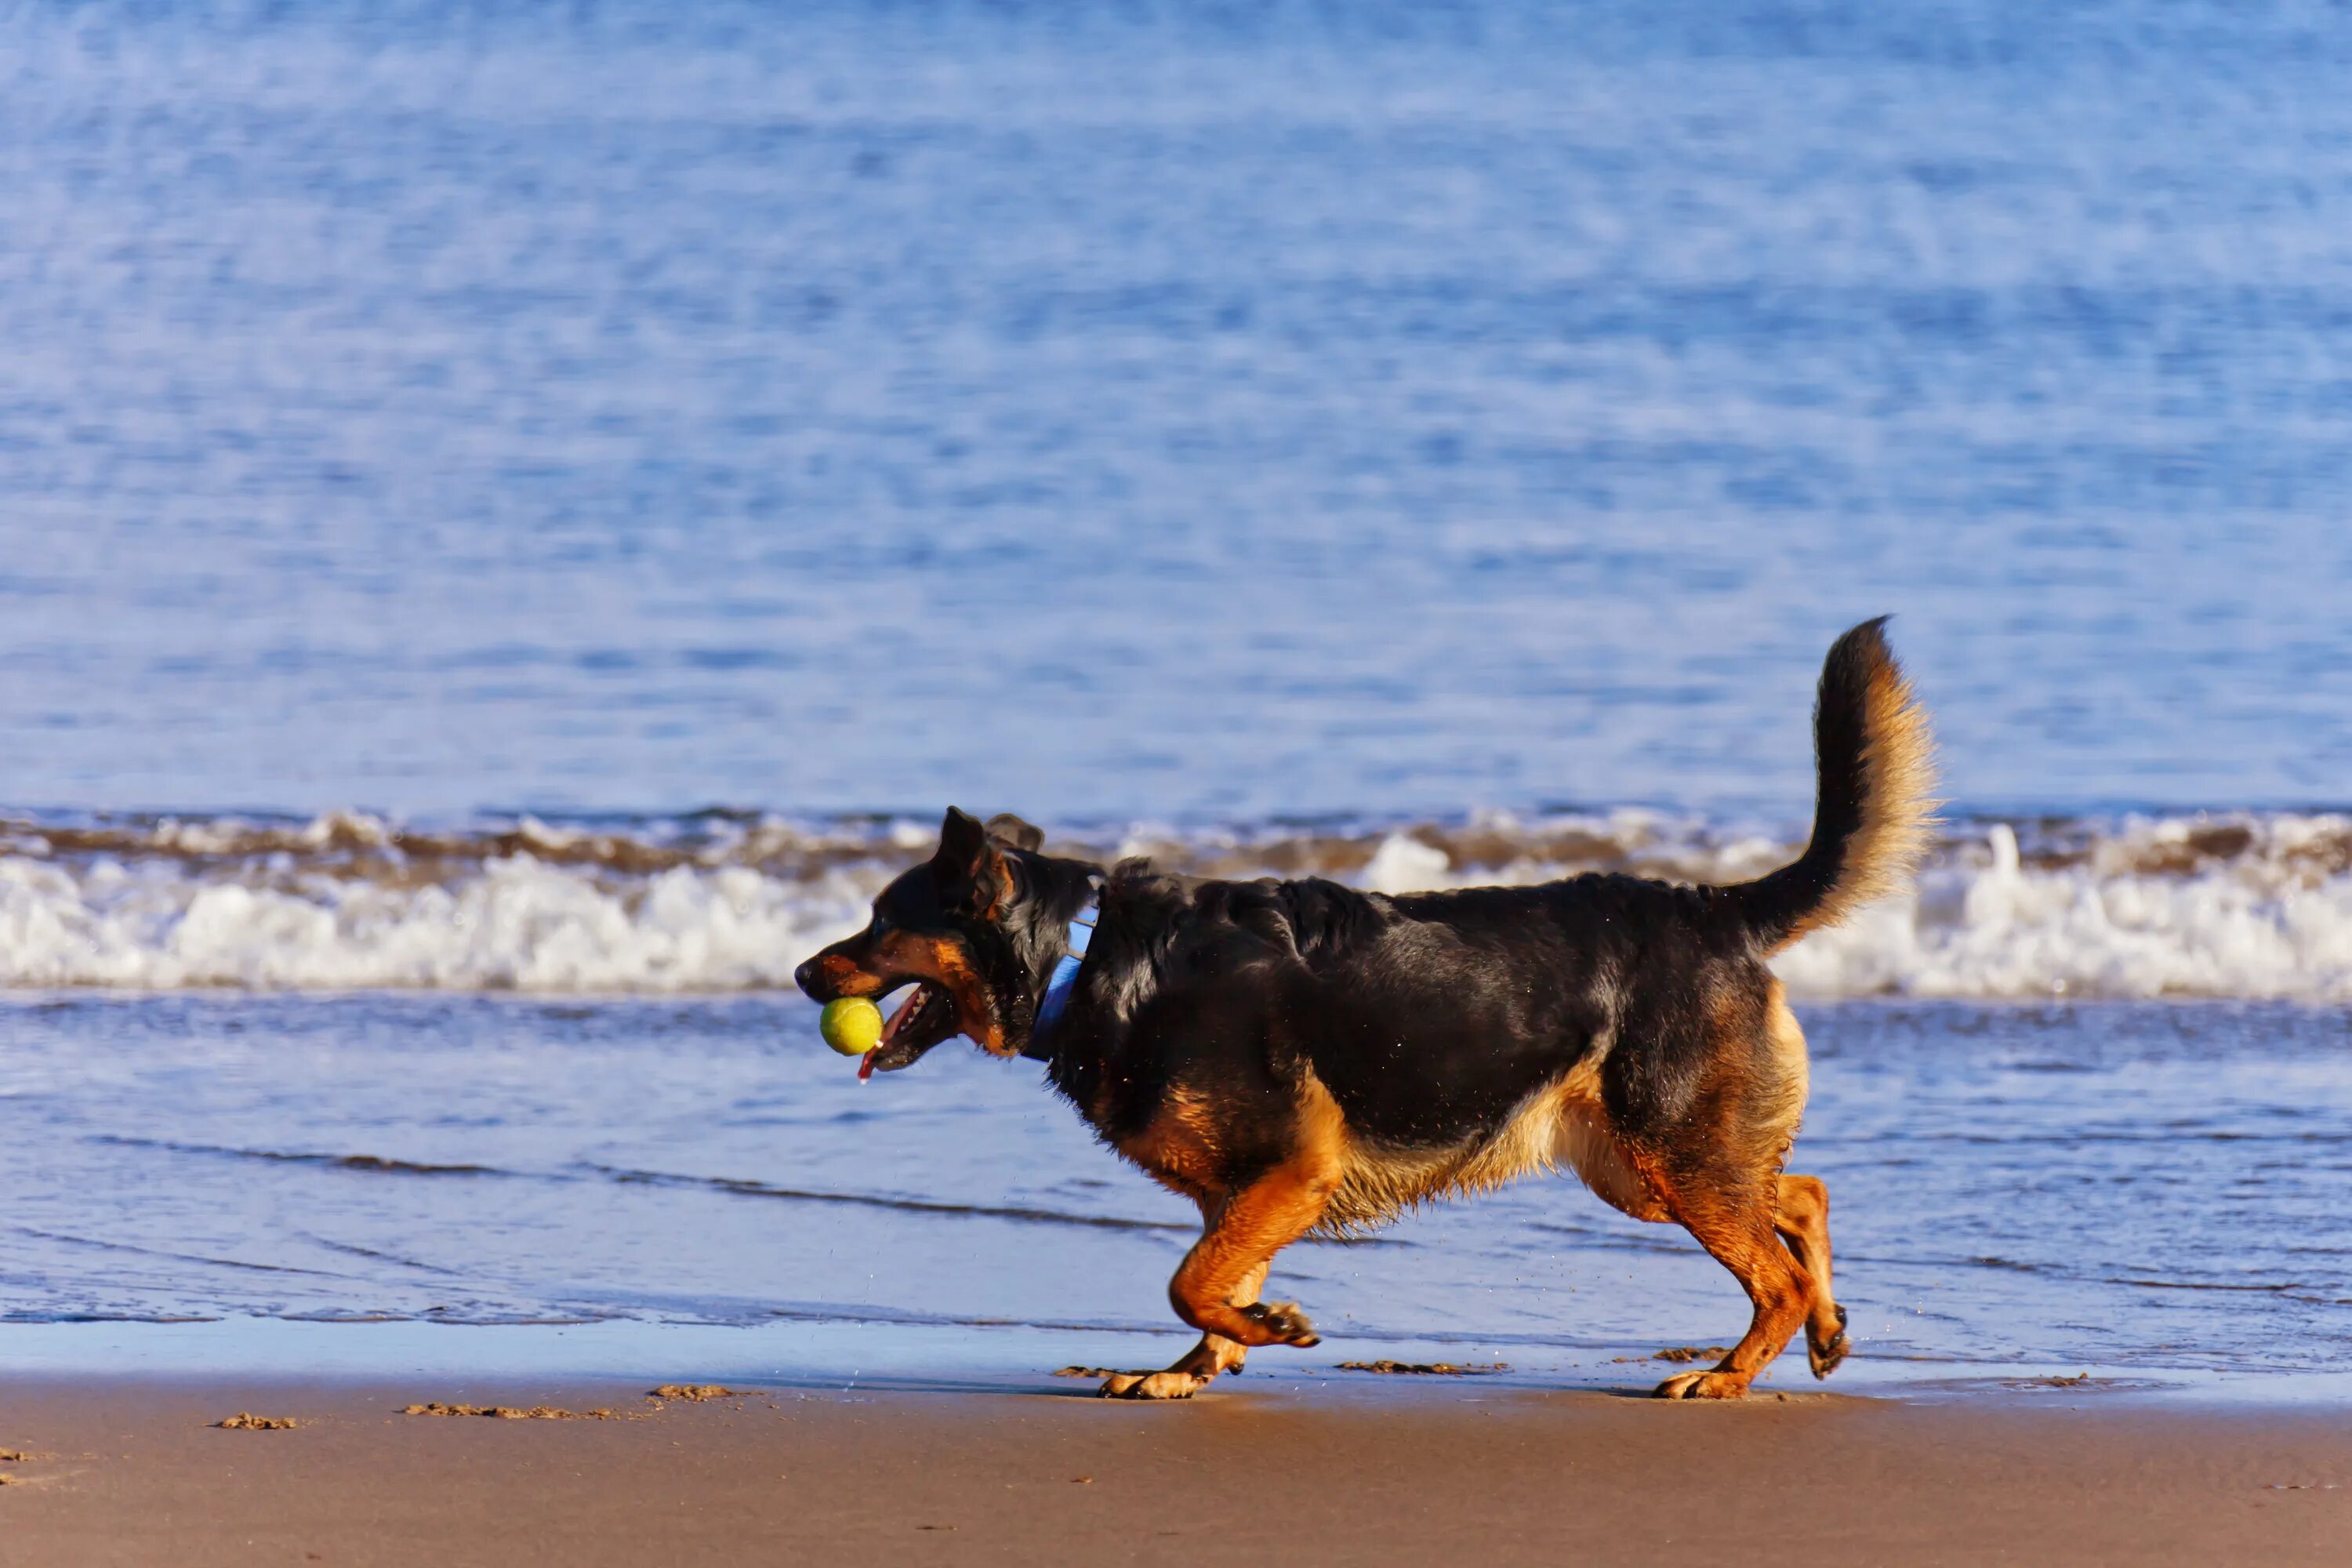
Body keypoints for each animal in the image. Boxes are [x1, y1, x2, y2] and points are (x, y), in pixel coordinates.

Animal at [790, 620, 1929, 1401]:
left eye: (881, 921)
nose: (799, 975)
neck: (1084, 953)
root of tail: (1713, 908)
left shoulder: (1293, 1169)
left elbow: (1193, 1278)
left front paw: (1266, 1328)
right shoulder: (1249, 1187)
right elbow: (1211, 1276)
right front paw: (1197, 1364)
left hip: (1665, 1156)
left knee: (1773, 1263)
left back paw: (1729, 1373)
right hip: (1638, 1163)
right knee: (1800, 1195)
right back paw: (1823, 1331)